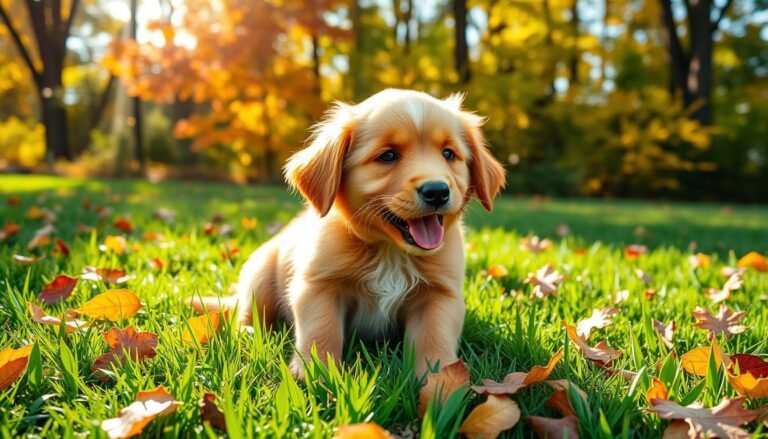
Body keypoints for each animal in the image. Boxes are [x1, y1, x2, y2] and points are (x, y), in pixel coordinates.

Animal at [186, 89, 504, 378]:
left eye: (449, 154)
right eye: (388, 156)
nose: (437, 191)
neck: (390, 251)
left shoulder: (440, 295)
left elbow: (435, 340)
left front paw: (442, 385)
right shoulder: (319, 286)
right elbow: (321, 331)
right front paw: (316, 375)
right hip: (260, 276)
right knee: (249, 314)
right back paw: (247, 334)